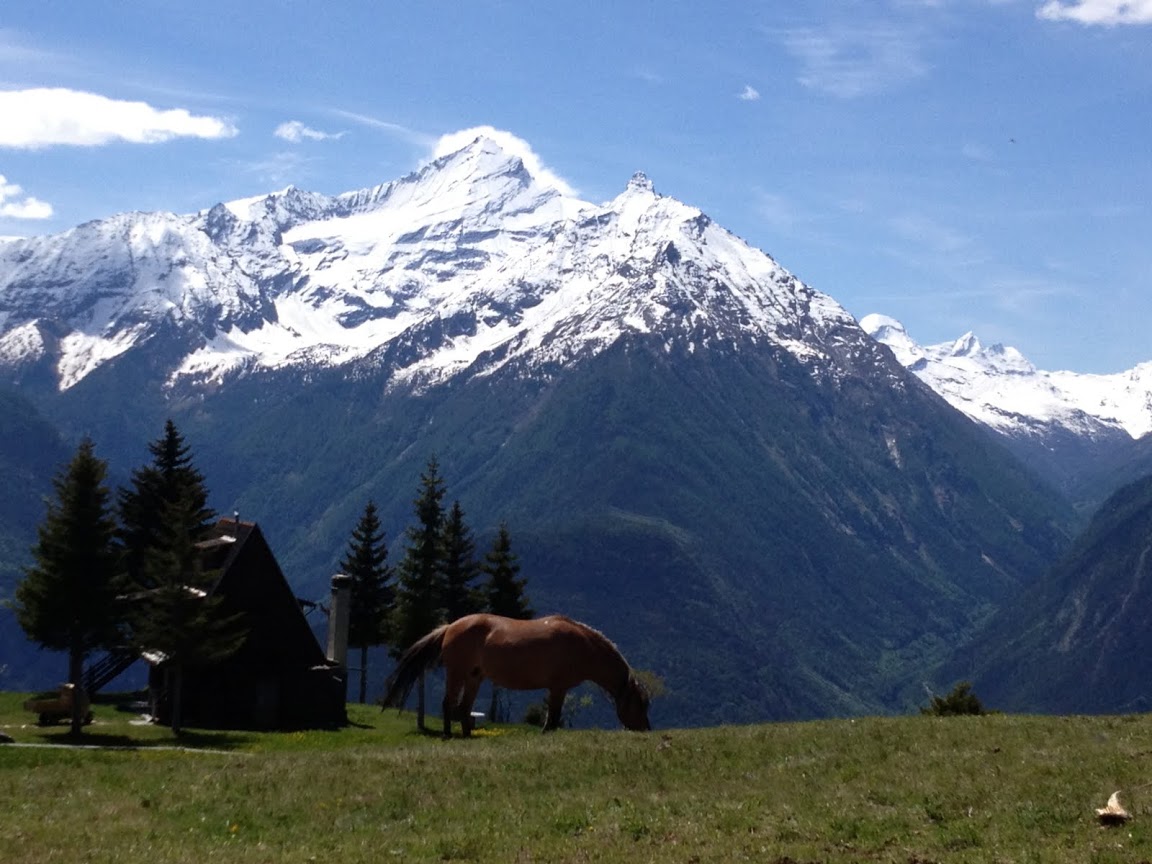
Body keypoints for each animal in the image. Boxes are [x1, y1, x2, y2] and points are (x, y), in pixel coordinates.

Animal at [382, 617, 654, 737]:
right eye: (639, 704)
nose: (646, 729)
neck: (581, 645)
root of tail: (450, 626)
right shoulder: (558, 687)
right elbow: (553, 717)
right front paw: (546, 733)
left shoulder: (558, 688)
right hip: (457, 673)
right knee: (449, 704)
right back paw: (449, 735)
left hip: (474, 677)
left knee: (463, 707)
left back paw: (468, 736)